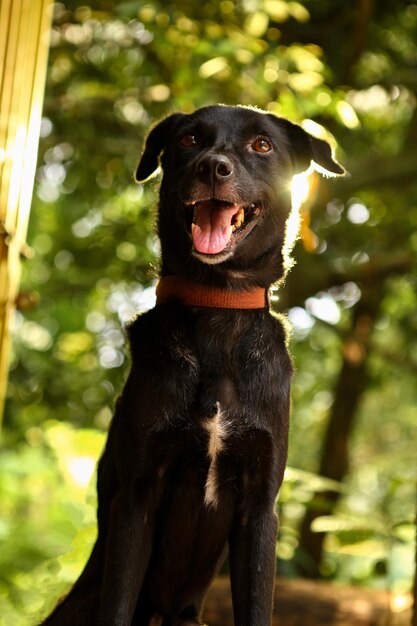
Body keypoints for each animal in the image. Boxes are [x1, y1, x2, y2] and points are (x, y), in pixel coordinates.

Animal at [40, 105, 342, 620]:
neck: (216, 304)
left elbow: (257, 605)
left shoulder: (260, 507)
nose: (213, 167)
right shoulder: (136, 497)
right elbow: (117, 603)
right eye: (188, 140)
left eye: (262, 145)